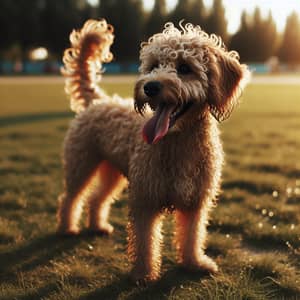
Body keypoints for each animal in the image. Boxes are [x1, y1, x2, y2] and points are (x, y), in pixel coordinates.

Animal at [57, 19, 250, 284]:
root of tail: (98, 100)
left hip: (112, 173)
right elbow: (145, 242)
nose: (150, 86)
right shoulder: (145, 199)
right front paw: (143, 274)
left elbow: (192, 236)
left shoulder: (195, 202)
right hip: (81, 164)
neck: (178, 143)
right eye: (153, 66)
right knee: (70, 198)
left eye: (184, 67)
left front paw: (194, 263)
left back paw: (97, 226)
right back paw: (67, 228)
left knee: (97, 198)